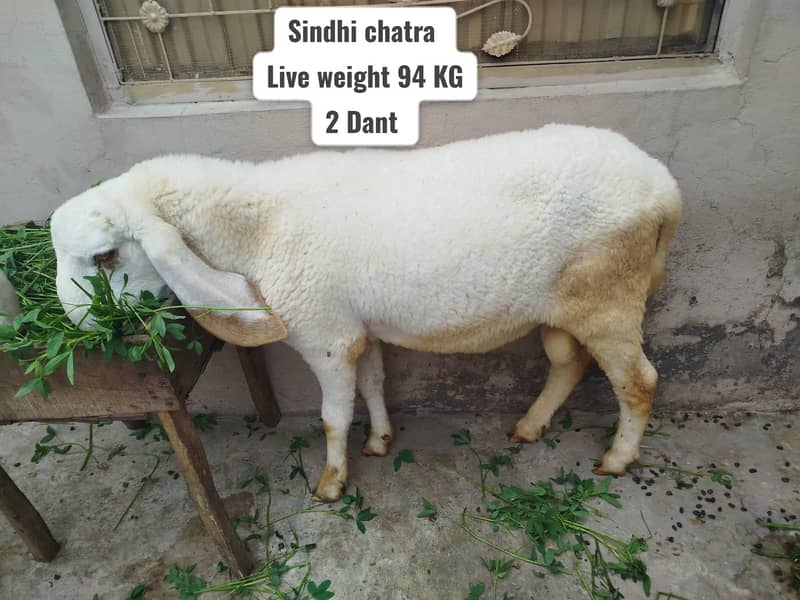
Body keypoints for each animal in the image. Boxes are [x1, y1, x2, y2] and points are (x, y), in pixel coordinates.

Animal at [50, 124, 682, 502]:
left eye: (105, 257)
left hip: (610, 299)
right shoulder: (359, 327)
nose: (79, 324)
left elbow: (334, 416)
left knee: (639, 382)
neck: (258, 230)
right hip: (561, 308)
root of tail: (665, 188)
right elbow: (375, 382)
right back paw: (529, 427)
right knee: (568, 364)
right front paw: (379, 439)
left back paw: (617, 459)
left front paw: (332, 482)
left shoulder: (324, 335)